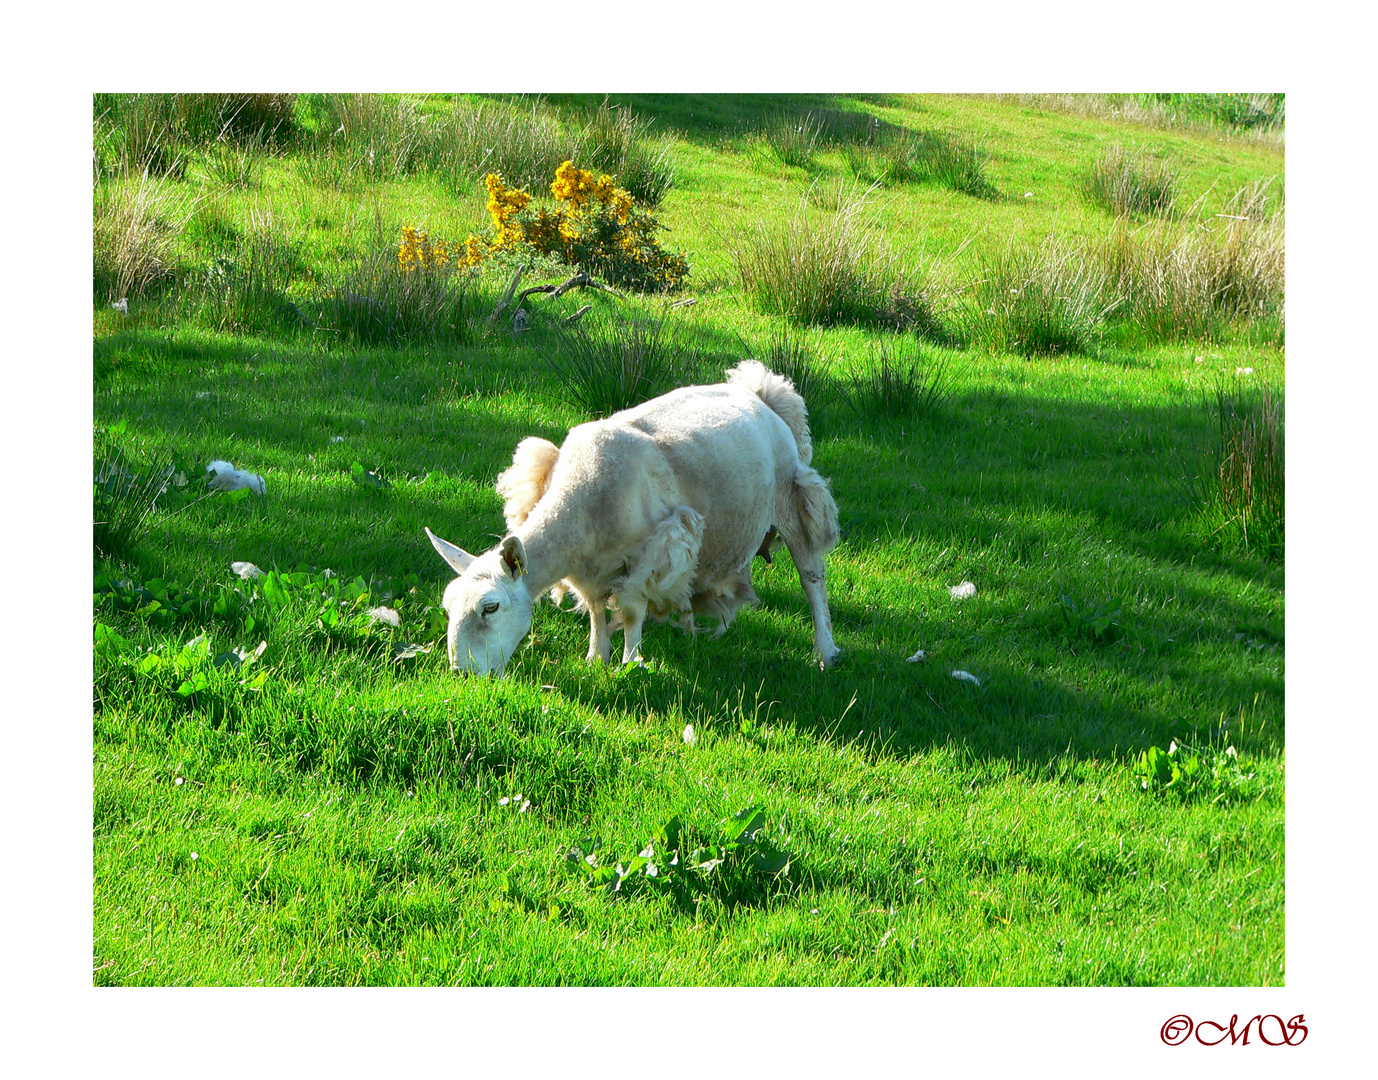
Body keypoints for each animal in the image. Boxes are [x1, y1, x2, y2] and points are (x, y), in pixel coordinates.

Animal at [427, 360, 837, 675]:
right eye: (448, 607)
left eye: (490, 607)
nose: (462, 674)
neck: (579, 498)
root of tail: (761, 392)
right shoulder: (590, 568)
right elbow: (595, 608)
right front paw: (596, 656)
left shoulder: (652, 554)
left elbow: (630, 610)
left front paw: (629, 661)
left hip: (792, 497)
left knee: (811, 577)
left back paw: (826, 651)